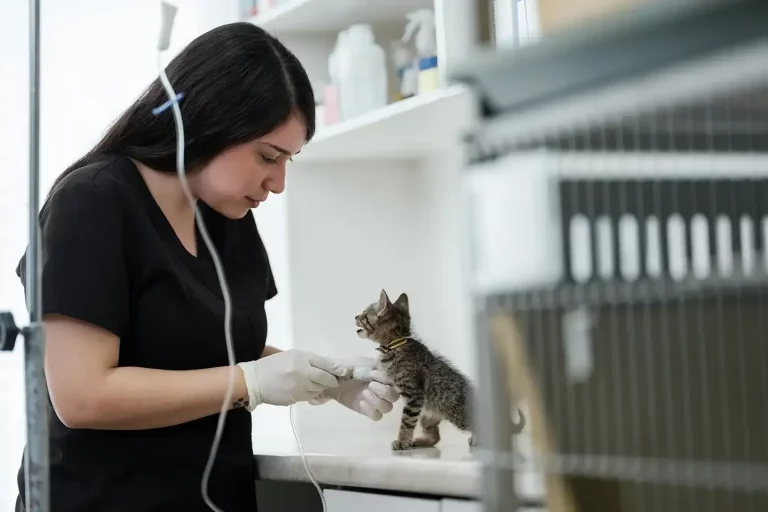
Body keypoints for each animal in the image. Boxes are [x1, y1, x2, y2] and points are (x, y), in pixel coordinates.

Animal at [356, 290, 524, 450]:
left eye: (364, 315)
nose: (355, 316)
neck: (395, 345)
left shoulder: (414, 396)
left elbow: (407, 422)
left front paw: (402, 442)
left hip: (458, 415)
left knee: (481, 426)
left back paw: (479, 439)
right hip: (427, 415)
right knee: (435, 437)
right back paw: (420, 442)